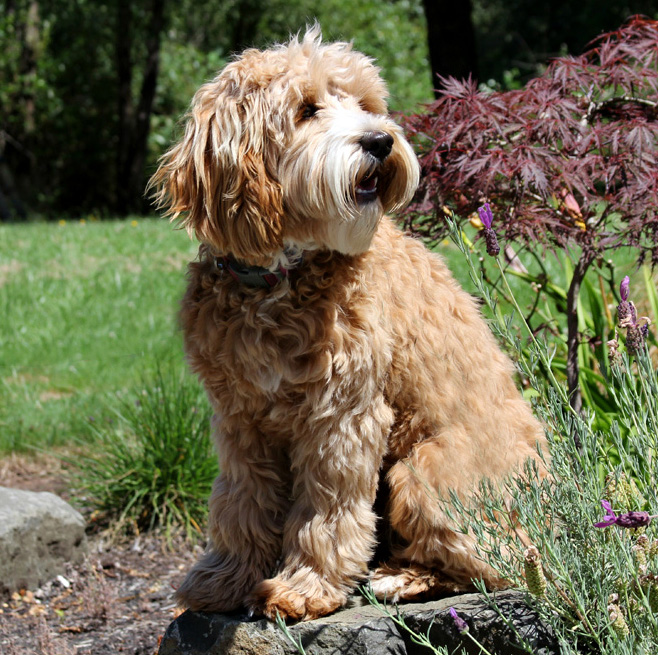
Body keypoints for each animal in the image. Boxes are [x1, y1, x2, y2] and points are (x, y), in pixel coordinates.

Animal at [151, 28, 544, 624]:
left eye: (365, 104)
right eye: (306, 109)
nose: (380, 141)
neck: (279, 277)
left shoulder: (342, 414)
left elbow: (327, 507)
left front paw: (304, 587)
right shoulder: (240, 419)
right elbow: (241, 500)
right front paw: (226, 579)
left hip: (421, 470)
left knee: (492, 561)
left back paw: (401, 578)